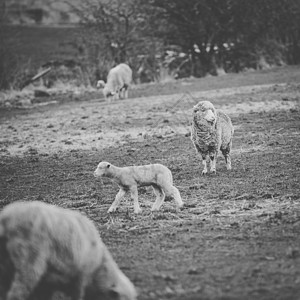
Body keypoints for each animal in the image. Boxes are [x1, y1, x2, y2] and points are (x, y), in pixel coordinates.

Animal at [0, 200, 137, 300]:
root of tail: (7, 220)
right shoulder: (80, 278)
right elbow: (78, 295)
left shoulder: (48, 285)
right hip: (29, 261)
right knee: (16, 293)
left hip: (5, 269)